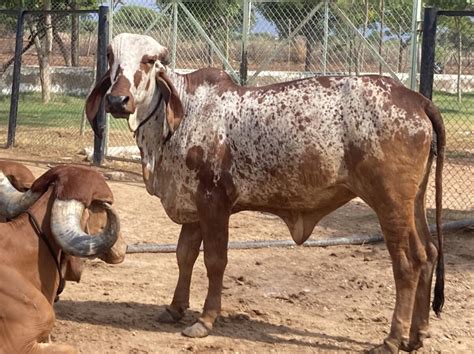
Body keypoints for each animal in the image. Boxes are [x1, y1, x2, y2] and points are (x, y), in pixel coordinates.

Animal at [85, 34, 444, 354]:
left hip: (390, 203)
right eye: (110, 57)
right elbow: (184, 256)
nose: (117, 101)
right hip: (413, 202)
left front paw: (206, 319)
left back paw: (393, 339)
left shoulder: (214, 203)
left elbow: (215, 261)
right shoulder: (192, 205)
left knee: (407, 264)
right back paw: (416, 335)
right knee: (428, 253)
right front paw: (175, 308)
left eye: (148, 61)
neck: (181, 116)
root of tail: (416, 99)